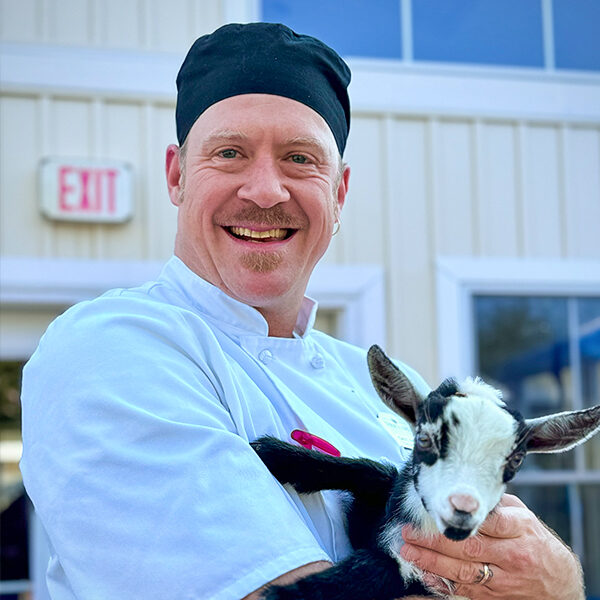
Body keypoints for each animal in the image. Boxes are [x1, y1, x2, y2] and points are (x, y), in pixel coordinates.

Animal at [250, 344, 600, 596]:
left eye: (514, 461)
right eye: (424, 438)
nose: (463, 508)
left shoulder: (423, 578)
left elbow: (377, 567)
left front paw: (286, 593)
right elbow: (371, 471)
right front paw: (277, 455)